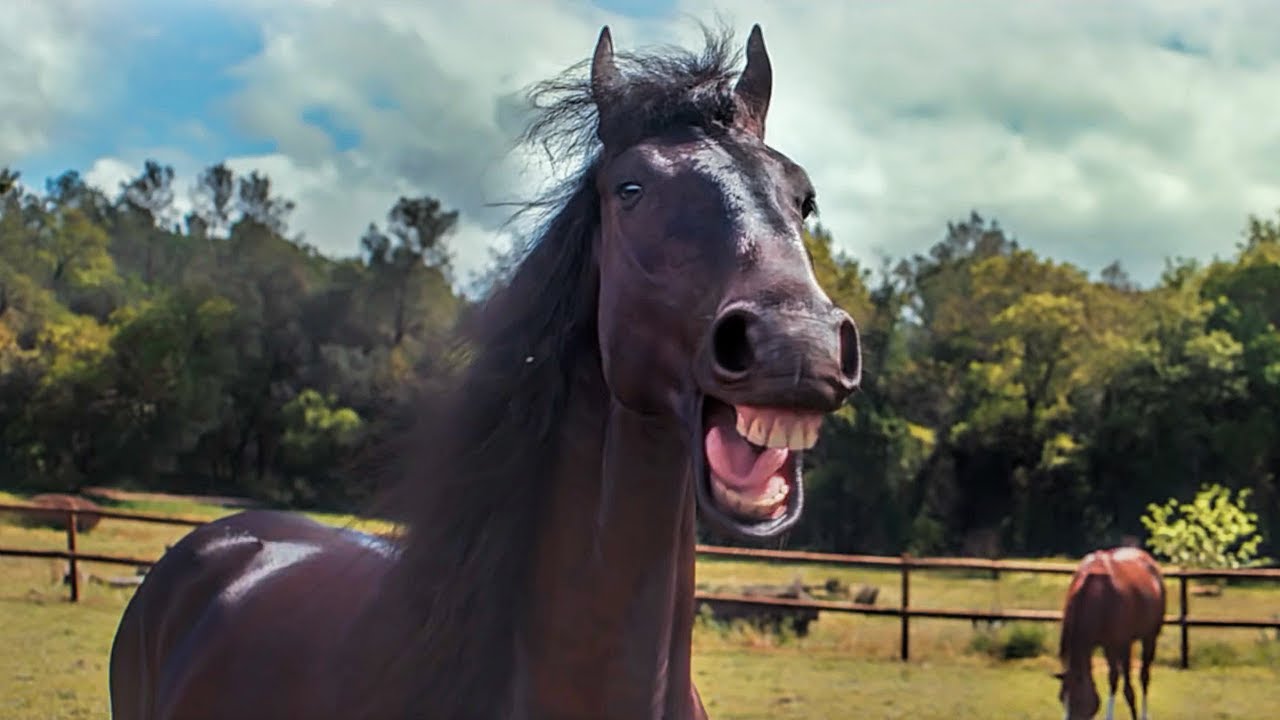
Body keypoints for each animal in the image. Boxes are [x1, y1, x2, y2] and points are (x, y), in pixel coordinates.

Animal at [1054, 543, 1167, 717]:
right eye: (1060, 698)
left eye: (1078, 701)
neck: (1098, 595)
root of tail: (1149, 561)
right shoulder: (1108, 646)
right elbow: (1113, 679)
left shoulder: (1121, 644)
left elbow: (1126, 689)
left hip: (1149, 638)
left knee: (1144, 677)